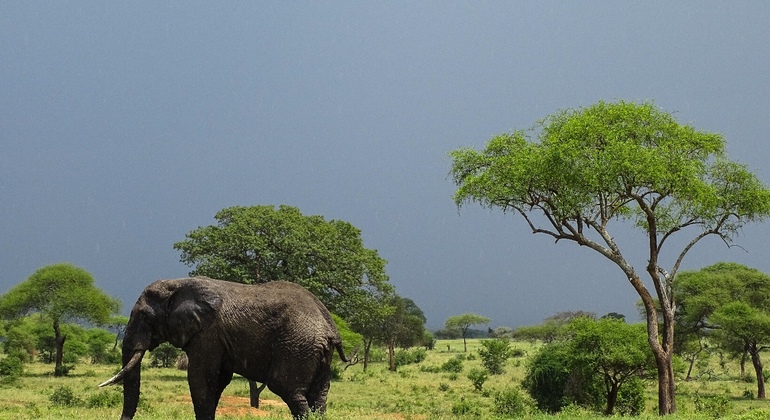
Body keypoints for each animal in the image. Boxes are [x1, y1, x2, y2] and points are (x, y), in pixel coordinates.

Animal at [99, 278, 348, 418]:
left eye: (144, 316)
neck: (177, 285)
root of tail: (330, 328)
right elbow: (217, 382)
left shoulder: (207, 334)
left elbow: (200, 379)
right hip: (318, 353)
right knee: (318, 397)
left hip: (297, 345)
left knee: (289, 390)